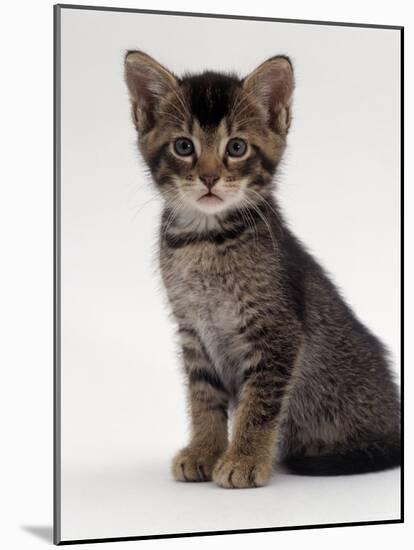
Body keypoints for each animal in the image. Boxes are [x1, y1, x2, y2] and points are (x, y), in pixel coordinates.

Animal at [124, 51, 400, 490]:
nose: (209, 177)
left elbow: (260, 403)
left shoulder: (276, 331)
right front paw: (204, 450)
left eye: (236, 147)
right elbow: (202, 398)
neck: (205, 240)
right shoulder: (193, 329)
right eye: (183, 146)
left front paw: (245, 459)